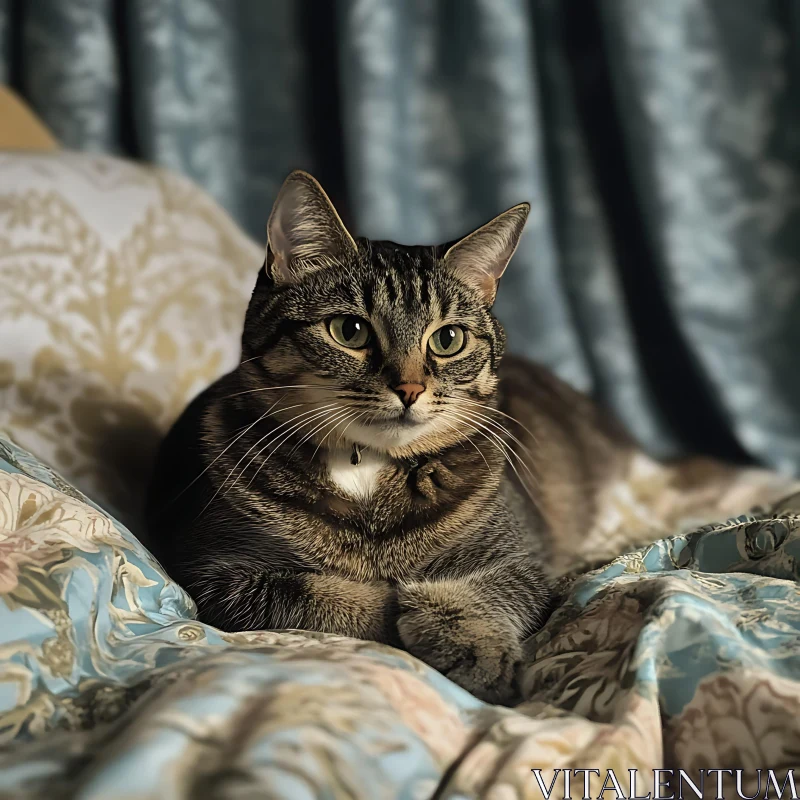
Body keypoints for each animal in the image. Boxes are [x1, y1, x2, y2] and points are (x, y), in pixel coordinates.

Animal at [148, 169, 636, 700]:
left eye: (448, 339)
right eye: (350, 330)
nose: (410, 388)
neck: (367, 466)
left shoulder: (521, 559)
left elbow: (488, 590)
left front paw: (473, 643)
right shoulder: (215, 570)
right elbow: (328, 596)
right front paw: (395, 604)